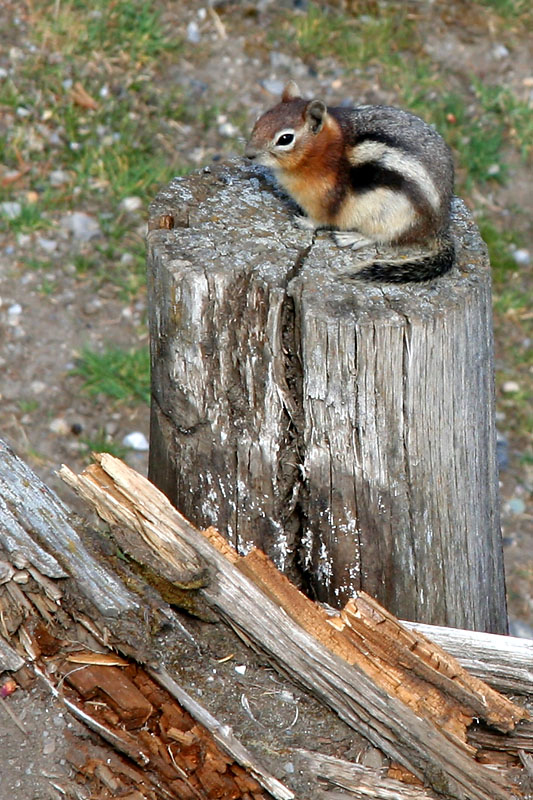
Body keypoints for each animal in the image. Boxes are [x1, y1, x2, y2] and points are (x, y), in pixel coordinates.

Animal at [245, 83, 454, 282]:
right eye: (260, 119)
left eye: (285, 139)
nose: (249, 154)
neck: (322, 151)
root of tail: (439, 226)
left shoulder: (322, 199)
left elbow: (319, 219)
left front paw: (305, 222)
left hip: (392, 217)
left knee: (384, 238)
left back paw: (354, 237)